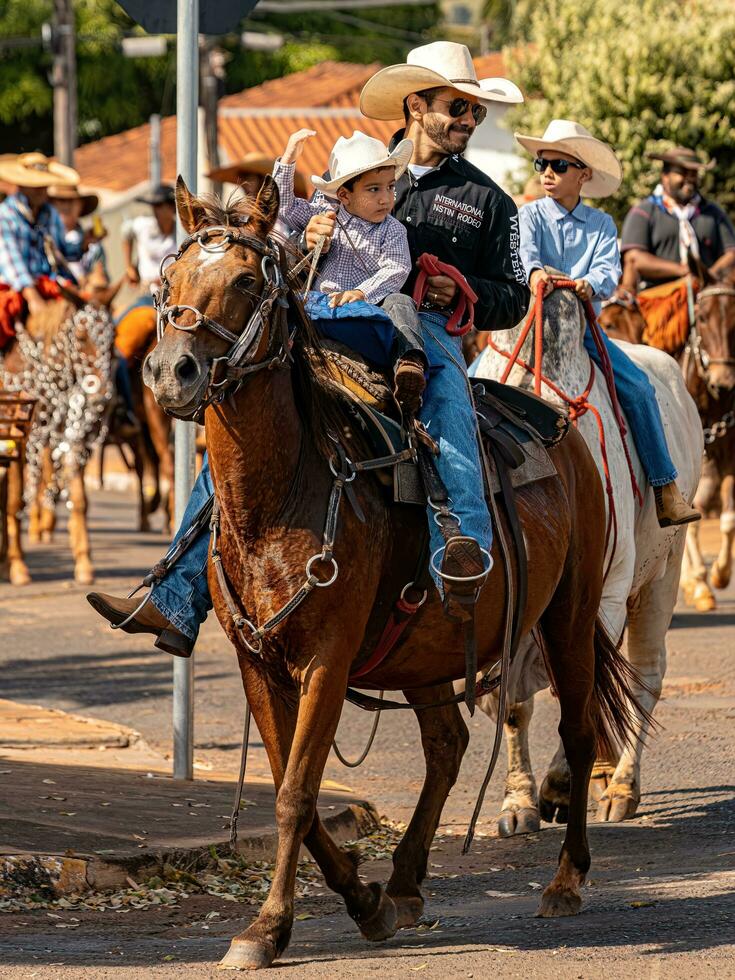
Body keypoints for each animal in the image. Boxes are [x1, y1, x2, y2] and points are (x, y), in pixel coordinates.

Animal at [144, 178, 644, 972]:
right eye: (169, 282)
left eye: (248, 281)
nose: (172, 372)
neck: (281, 494)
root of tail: (561, 425)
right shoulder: (258, 663)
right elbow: (295, 786)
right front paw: (364, 900)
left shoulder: (326, 659)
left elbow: (295, 792)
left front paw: (266, 927)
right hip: (428, 648)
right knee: (446, 745)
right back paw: (405, 884)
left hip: (569, 614)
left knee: (577, 729)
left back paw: (565, 880)